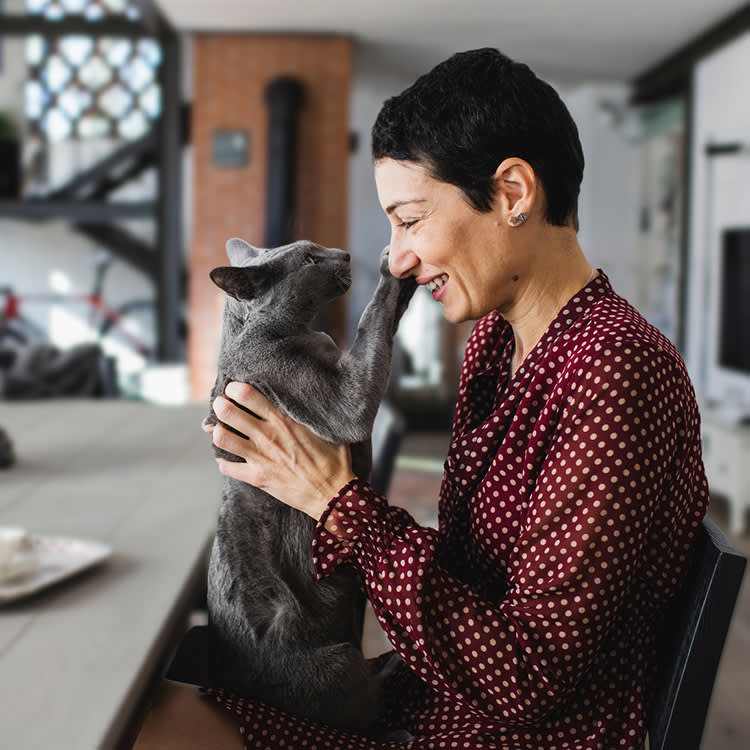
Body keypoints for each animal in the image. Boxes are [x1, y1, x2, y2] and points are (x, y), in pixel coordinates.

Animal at [206, 238, 418, 732]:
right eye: (308, 259)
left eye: (316, 249)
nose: (343, 254)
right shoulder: (345, 404)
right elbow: (370, 324)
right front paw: (391, 266)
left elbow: (387, 322)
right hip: (338, 661)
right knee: (366, 713)